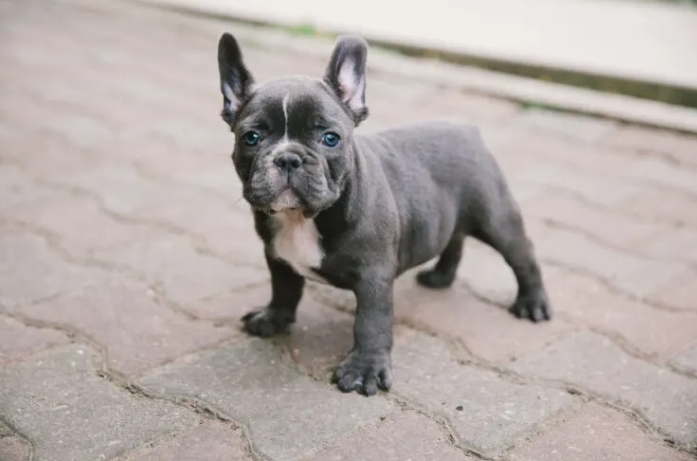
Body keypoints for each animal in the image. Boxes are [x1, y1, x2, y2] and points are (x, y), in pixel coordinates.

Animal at [215, 32, 552, 396]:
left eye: (330, 138)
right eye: (251, 138)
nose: (288, 158)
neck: (301, 218)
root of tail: (468, 130)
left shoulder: (373, 275)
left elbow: (371, 322)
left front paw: (364, 370)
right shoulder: (277, 256)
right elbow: (283, 289)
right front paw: (273, 318)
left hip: (496, 218)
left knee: (523, 256)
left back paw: (533, 303)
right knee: (454, 239)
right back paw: (440, 277)